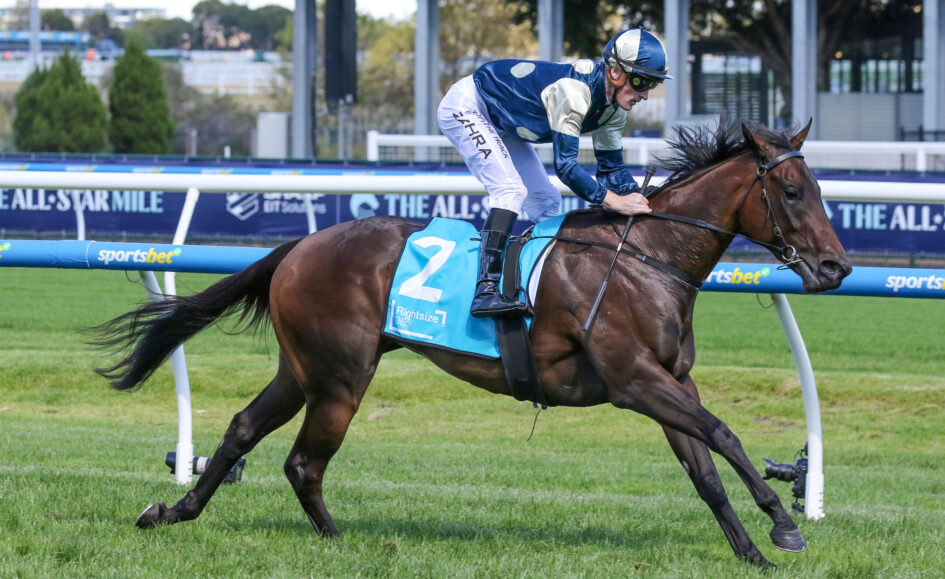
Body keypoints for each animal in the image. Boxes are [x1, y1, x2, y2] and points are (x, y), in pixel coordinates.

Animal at [92, 118, 850, 566]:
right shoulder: (634, 380)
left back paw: (172, 510)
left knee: (245, 428)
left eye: (817, 188)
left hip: (303, 368)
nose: (836, 267)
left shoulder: (668, 379)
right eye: (790, 190)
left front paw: (752, 551)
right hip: (340, 376)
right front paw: (783, 525)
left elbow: (704, 470)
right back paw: (341, 543)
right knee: (304, 462)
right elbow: (724, 434)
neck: (646, 257)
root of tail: (300, 245)